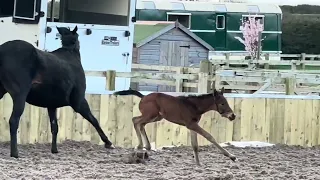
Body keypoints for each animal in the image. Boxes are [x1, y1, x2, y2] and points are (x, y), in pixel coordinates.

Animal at [0, 25, 114, 158]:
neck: (70, 54)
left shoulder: (52, 105)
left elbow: (54, 126)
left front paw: (54, 150)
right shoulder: (79, 101)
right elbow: (93, 119)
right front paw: (108, 143)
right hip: (20, 95)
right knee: (14, 121)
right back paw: (15, 153)